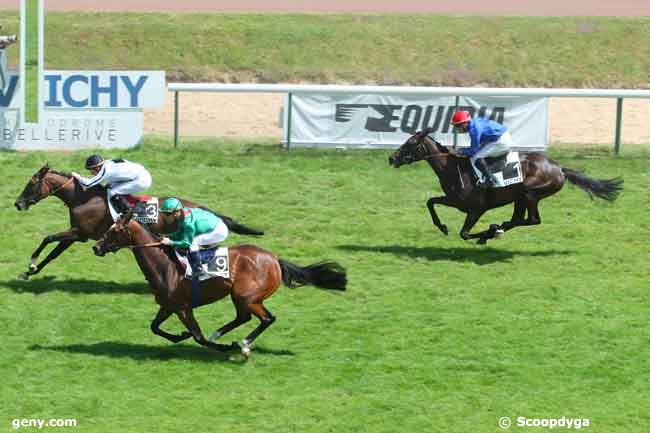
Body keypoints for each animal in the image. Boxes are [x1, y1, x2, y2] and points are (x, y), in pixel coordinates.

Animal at [12, 164, 262, 278]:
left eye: (31, 184)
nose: (18, 204)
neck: (82, 197)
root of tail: (204, 209)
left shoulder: (78, 232)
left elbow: (48, 238)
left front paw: (31, 264)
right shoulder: (78, 234)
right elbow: (53, 252)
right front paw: (31, 272)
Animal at [93, 211, 346, 356]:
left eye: (115, 230)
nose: (96, 247)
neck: (165, 265)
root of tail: (274, 259)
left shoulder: (183, 308)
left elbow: (197, 336)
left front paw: (221, 347)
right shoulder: (168, 305)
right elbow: (155, 327)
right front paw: (180, 337)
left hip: (247, 296)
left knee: (266, 318)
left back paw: (242, 344)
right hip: (240, 296)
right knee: (244, 317)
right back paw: (221, 335)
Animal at [388, 128, 620, 243]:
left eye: (410, 143)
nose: (392, 158)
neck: (453, 168)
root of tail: (560, 168)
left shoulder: (477, 209)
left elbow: (464, 234)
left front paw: (485, 234)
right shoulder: (455, 201)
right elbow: (430, 201)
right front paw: (442, 226)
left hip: (530, 193)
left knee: (532, 220)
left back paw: (494, 231)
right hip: (520, 197)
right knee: (518, 219)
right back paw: (497, 228)